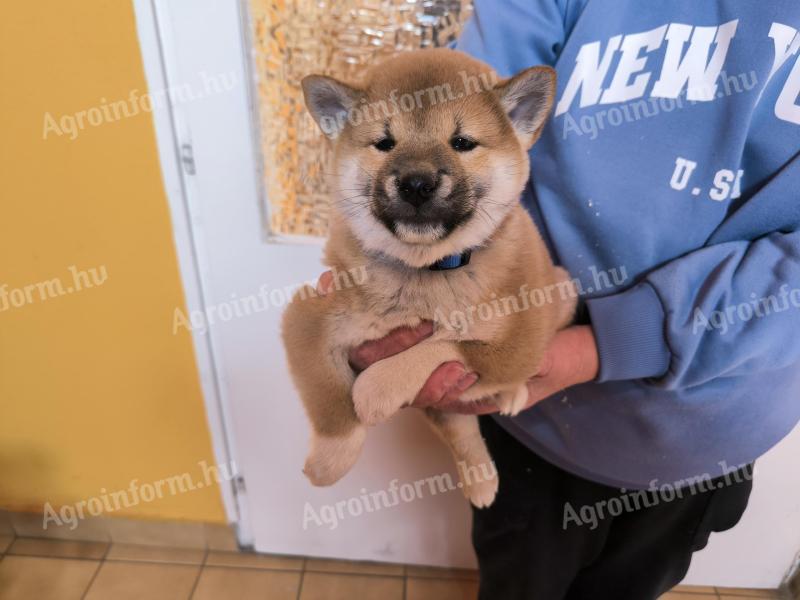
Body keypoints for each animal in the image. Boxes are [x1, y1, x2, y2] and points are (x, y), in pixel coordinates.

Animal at [282, 48, 576, 506]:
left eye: (462, 142)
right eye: (385, 143)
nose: (416, 183)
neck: (424, 271)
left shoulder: (510, 347)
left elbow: (438, 345)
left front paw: (375, 390)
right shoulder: (309, 316)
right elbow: (331, 402)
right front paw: (329, 463)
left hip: (561, 296)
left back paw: (513, 395)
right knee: (458, 428)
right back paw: (480, 480)